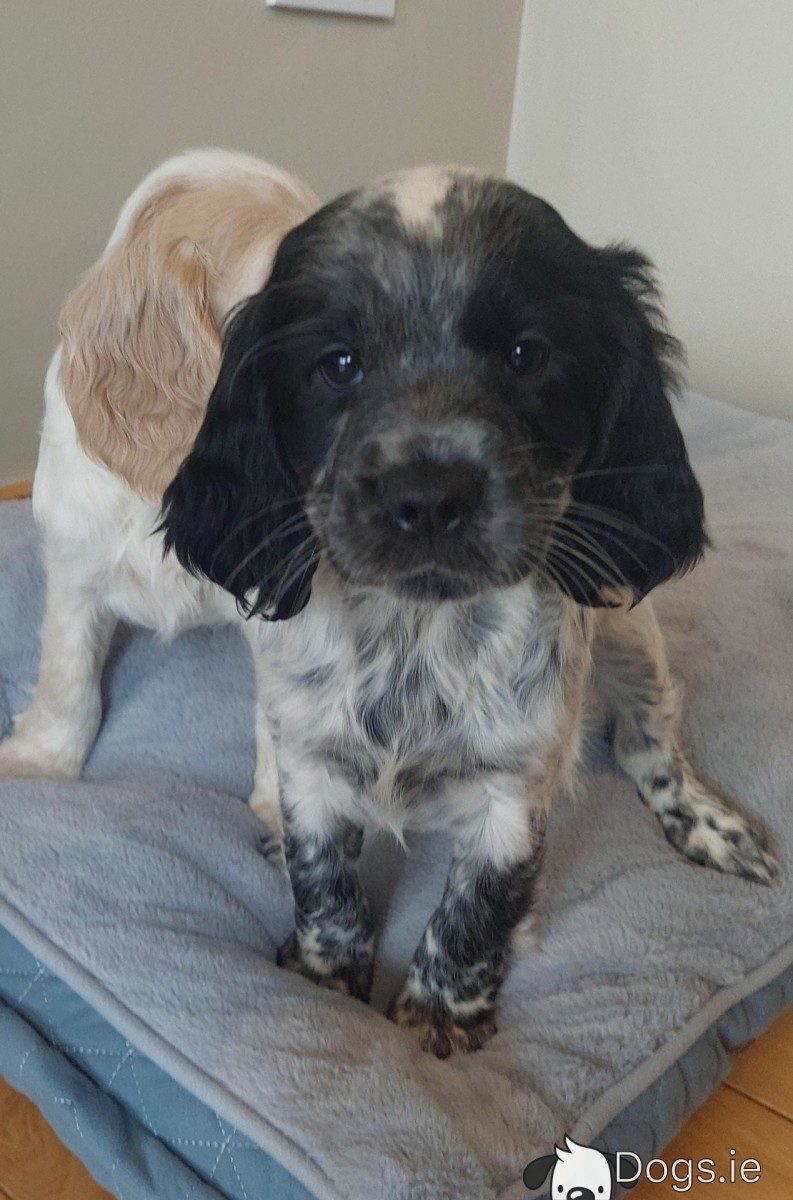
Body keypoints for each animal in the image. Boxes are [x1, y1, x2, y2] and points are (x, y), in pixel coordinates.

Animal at [1, 152, 778, 1058]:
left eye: (526, 356)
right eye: (337, 363)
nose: (429, 497)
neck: (416, 629)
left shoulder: (511, 792)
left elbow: (474, 908)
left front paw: (437, 1022)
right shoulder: (286, 737)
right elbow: (316, 877)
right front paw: (320, 985)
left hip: (627, 627)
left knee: (648, 745)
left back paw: (710, 830)